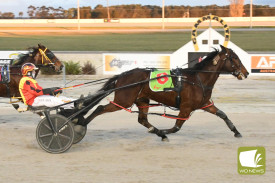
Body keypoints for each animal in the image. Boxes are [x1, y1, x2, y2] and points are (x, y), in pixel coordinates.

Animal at [80, 45, 250, 140]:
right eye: (235, 57)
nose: (246, 72)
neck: (198, 79)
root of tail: (122, 75)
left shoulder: (205, 104)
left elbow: (223, 115)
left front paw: (236, 132)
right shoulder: (186, 107)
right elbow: (177, 127)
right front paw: (164, 131)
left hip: (142, 100)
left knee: (142, 120)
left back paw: (156, 132)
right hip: (124, 100)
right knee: (100, 108)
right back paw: (82, 123)